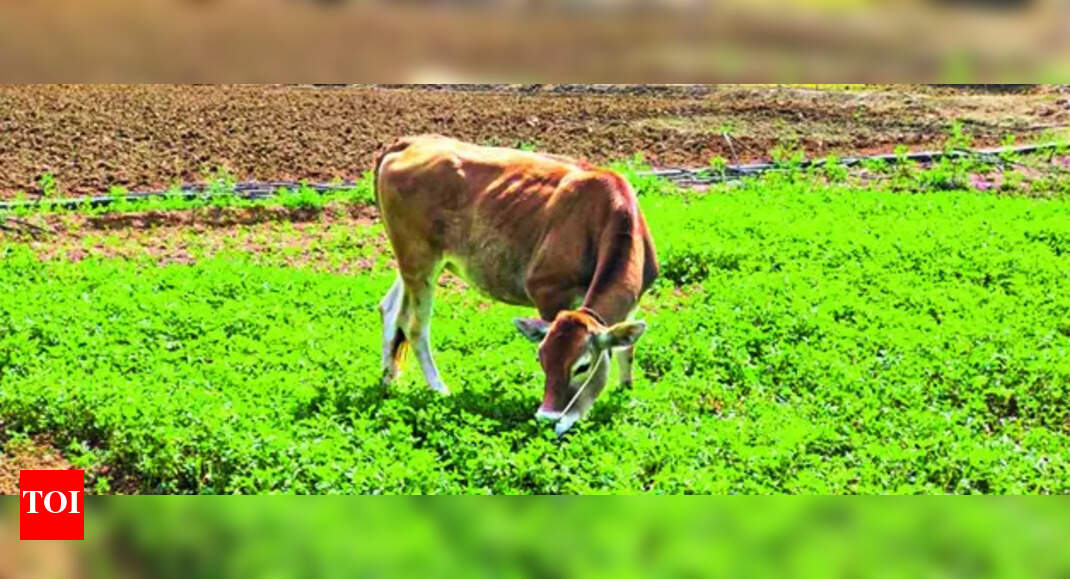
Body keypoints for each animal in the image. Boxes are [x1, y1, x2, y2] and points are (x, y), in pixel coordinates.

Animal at [374, 134, 659, 435]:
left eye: (583, 366)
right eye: (541, 359)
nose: (548, 418)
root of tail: (410, 141)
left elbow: (626, 350)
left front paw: (626, 392)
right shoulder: (548, 290)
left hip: (410, 262)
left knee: (390, 308)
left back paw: (388, 380)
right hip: (420, 258)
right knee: (415, 326)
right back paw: (440, 389)